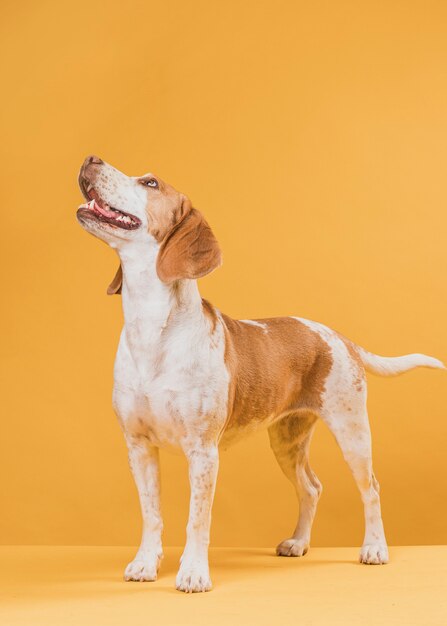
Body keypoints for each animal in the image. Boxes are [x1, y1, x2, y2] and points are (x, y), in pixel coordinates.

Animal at [77, 155, 444, 588]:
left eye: (150, 183)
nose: (91, 158)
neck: (151, 326)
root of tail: (338, 336)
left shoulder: (203, 452)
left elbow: (197, 519)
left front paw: (193, 573)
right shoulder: (139, 447)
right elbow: (152, 515)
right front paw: (146, 564)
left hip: (353, 432)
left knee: (370, 488)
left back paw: (374, 549)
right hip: (286, 441)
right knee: (312, 487)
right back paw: (298, 543)